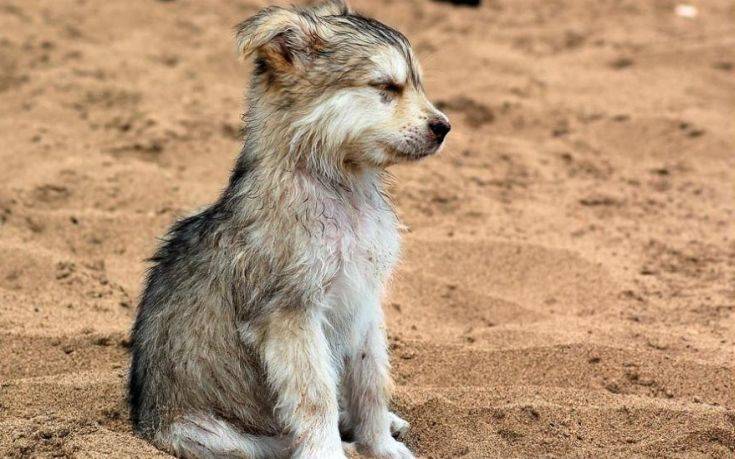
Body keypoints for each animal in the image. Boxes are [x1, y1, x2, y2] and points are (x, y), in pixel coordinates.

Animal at [128, 1, 448, 458]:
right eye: (385, 86)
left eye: (416, 84)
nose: (444, 128)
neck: (340, 187)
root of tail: (145, 422)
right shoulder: (290, 315)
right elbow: (317, 397)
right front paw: (334, 451)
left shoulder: (364, 301)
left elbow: (371, 381)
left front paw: (381, 445)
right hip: (214, 436)